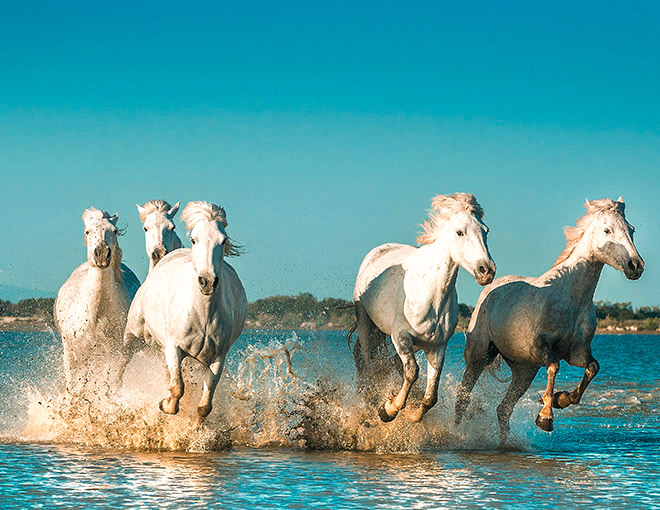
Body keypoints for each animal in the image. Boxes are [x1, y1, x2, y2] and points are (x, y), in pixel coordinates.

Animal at [54, 207, 141, 394]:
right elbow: (72, 386)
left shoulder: (111, 353)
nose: (101, 254)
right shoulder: (71, 354)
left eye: (114, 231)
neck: (97, 313)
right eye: (88, 231)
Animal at [124, 200, 248, 418]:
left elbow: (205, 404)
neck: (202, 313)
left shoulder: (218, 357)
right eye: (194, 240)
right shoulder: (173, 347)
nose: (207, 281)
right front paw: (164, 404)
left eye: (223, 240)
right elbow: (177, 389)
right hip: (133, 333)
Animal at [350, 191, 496, 422]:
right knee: (367, 360)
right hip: (365, 321)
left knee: (391, 362)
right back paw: (369, 397)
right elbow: (412, 371)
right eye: (459, 232)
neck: (432, 297)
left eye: (486, 231)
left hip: (416, 343)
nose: (486, 271)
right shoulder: (400, 336)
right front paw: (388, 409)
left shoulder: (437, 346)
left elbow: (431, 395)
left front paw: (413, 416)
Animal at [454, 197, 644, 444]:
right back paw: (456, 433)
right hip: (479, 355)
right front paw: (545, 416)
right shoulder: (541, 347)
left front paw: (560, 399)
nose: (636, 266)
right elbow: (554, 367)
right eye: (607, 230)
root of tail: (491, 289)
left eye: (631, 229)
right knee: (463, 398)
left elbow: (593, 367)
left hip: (524, 370)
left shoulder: (577, 352)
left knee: (503, 409)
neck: (569, 298)